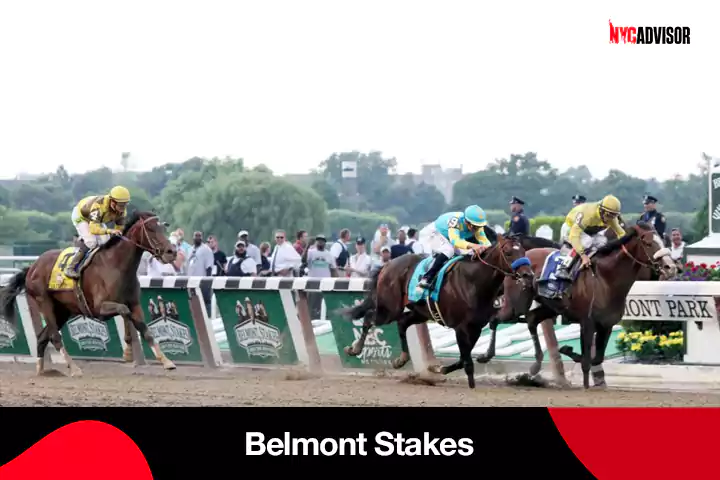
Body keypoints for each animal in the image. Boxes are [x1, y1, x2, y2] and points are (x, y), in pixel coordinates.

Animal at [0, 212, 178, 376]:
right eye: (151, 229)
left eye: (163, 228)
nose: (172, 252)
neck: (115, 266)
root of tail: (32, 267)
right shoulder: (100, 309)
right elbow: (124, 311)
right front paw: (128, 352)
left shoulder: (134, 304)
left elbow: (144, 329)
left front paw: (166, 361)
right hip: (44, 302)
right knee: (55, 337)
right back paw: (74, 368)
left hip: (63, 310)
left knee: (43, 337)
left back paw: (42, 371)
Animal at [338, 234, 536, 388]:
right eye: (509, 252)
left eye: (523, 252)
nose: (528, 275)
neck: (474, 282)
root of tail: (388, 264)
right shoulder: (461, 328)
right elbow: (466, 361)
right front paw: (471, 386)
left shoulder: (476, 327)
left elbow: (463, 359)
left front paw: (439, 368)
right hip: (389, 308)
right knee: (369, 318)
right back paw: (354, 349)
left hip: (420, 312)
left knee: (402, 322)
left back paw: (401, 359)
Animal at [480, 221, 676, 390]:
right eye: (648, 242)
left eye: (662, 239)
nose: (671, 267)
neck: (605, 278)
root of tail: (520, 260)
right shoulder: (587, 322)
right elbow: (588, 360)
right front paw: (585, 382)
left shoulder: (606, 325)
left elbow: (596, 358)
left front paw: (570, 353)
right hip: (516, 305)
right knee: (495, 319)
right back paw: (486, 355)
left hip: (550, 307)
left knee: (531, 319)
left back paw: (535, 365)